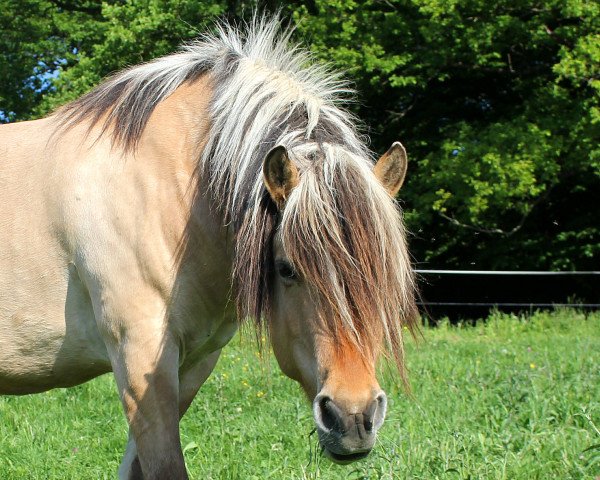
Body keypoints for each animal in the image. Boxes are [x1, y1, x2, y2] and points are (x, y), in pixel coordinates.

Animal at [0, 16, 418, 478]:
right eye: (286, 268)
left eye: (385, 274)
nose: (353, 418)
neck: (168, 187)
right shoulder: (139, 360)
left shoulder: (194, 363)